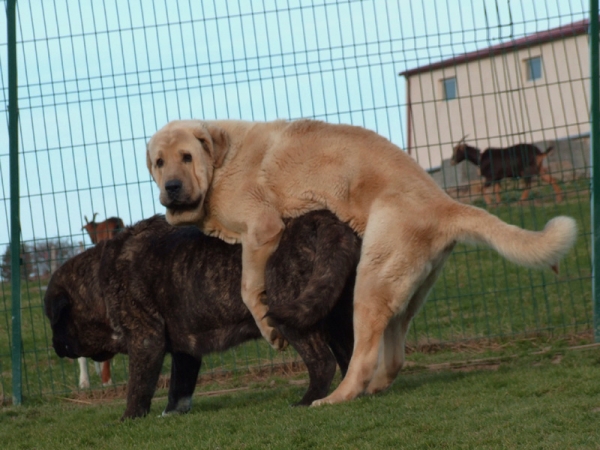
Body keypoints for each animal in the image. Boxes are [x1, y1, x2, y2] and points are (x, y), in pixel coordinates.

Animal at [145, 118, 576, 406]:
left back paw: (338, 397)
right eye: (158, 162)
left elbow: (251, 289)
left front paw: (270, 329)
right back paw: (377, 385)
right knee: (394, 351)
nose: (172, 188)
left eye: (186, 156)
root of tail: (445, 205)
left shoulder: (263, 228)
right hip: (401, 288)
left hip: (370, 281)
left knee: (363, 356)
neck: (220, 159)